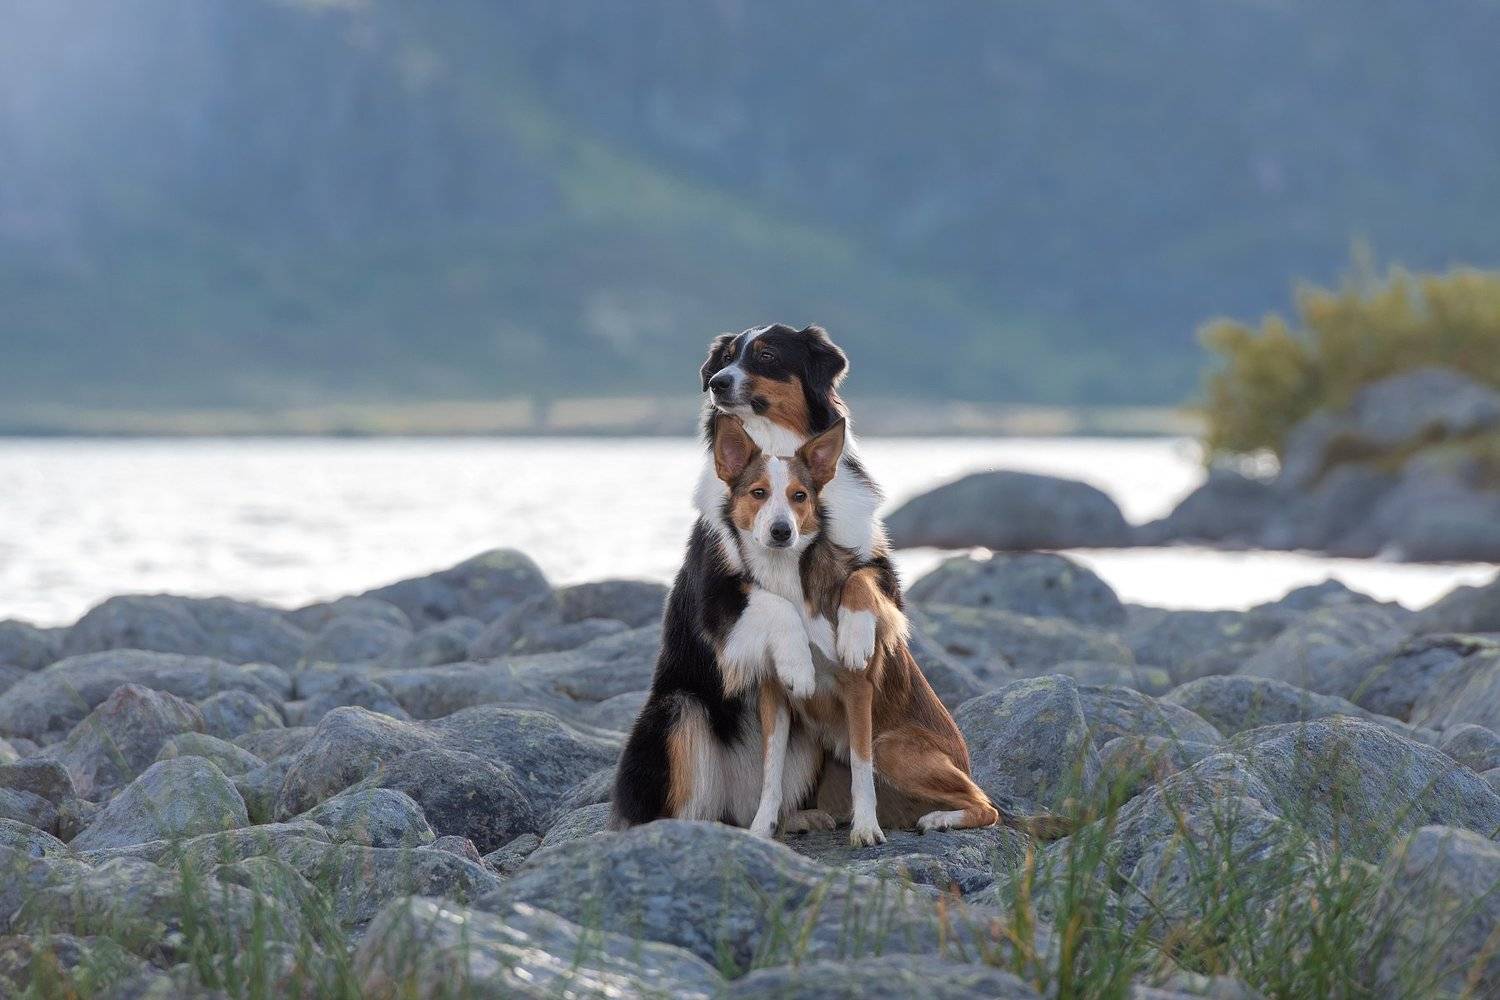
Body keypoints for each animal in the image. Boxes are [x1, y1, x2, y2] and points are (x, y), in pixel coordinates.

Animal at [611, 324, 891, 830]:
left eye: (766, 355)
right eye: (724, 358)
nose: (717, 383)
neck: (775, 448)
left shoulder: (880, 565)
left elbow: (859, 582)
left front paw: (856, 638)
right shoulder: (713, 594)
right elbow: (776, 604)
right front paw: (797, 664)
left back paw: (797, 817)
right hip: (678, 710)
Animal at [710, 414, 1004, 845]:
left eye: (800, 496)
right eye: (758, 493)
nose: (782, 531)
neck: (792, 582)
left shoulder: (858, 689)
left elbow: (861, 767)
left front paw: (866, 828)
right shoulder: (774, 696)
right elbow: (770, 773)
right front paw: (762, 828)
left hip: (892, 747)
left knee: (987, 805)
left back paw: (939, 819)